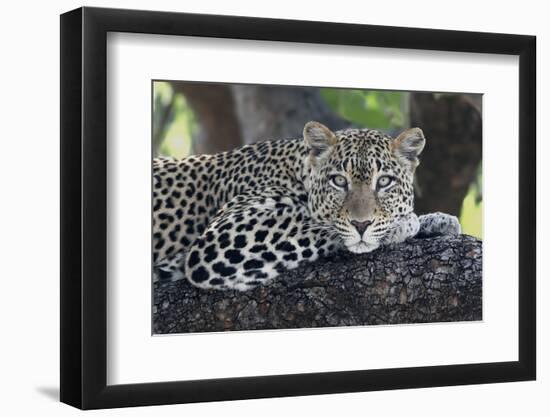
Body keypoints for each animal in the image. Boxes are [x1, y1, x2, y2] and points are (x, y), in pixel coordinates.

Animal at [152, 120, 462, 290]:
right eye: (339, 180)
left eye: (384, 181)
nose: (362, 224)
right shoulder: (223, 236)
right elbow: (320, 225)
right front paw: (402, 225)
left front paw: (437, 220)